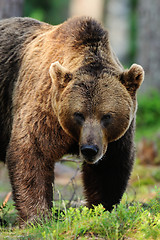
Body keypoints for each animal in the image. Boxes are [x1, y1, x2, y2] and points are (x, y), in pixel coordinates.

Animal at [0, 15, 144, 226]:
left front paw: (102, 209)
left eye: (107, 116)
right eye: (79, 114)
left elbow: (110, 167)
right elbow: (32, 152)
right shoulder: (44, 109)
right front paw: (37, 217)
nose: (89, 149)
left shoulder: (116, 137)